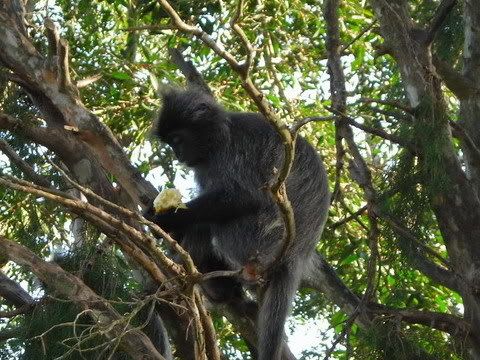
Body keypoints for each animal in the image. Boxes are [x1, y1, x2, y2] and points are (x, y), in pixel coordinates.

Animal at [147, 88, 330, 360]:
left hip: (253, 239)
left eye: (177, 140)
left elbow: (243, 197)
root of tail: (296, 253)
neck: (222, 134)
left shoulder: (232, 151)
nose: (178, 155)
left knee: (209, 225)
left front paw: (163, 218)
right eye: (170, 144)